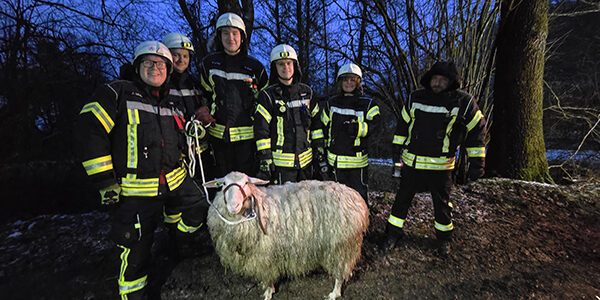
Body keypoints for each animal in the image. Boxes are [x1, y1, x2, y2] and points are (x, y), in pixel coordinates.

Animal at [204, 171, 368, 300]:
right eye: (224, 184)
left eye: (246, 183)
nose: (233, 206)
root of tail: (358, 199)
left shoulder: (265, 254)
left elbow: (268, 275)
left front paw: (268, 293)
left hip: (341, 246)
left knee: (340, 272)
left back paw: (334, 293)